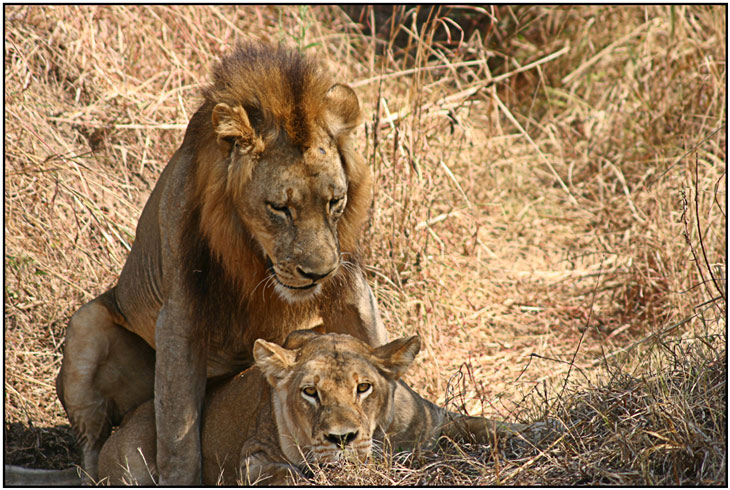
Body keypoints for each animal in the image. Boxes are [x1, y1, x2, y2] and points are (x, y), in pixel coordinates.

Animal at [55, 41, 386, 482]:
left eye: (335, 201)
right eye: (280, 208)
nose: (318, 273)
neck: (255, 258)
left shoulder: (349, 286)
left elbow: (371, 344)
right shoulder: (180, 315)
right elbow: (178, 433)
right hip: (85, 326)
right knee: (95, 445)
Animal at [95, 330, 528, 486]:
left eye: (363, 387)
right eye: (310, 393)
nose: (342, 439)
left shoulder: (434, 420)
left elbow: (487, 425)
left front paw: (532, 436)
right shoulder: (252, 459)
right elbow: (291, 475)